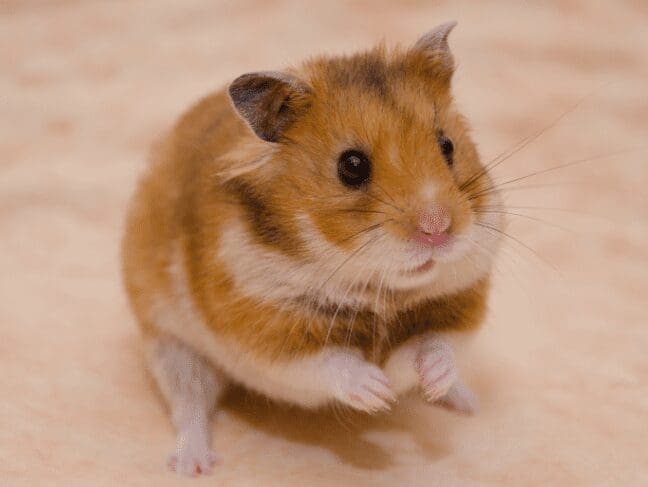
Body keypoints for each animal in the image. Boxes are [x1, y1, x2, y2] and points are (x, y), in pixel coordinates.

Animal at [122, 21, 503, 476]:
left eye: (447, 146)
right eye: (352, 166)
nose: (438, 230)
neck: (380, 290)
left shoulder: (459, 304)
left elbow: (433, 346)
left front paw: (424, 381)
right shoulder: (265, 331)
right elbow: (331, 363)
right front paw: (378, 393)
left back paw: (465, 402)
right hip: (171, 346)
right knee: (189, 406)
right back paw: (193, 466)